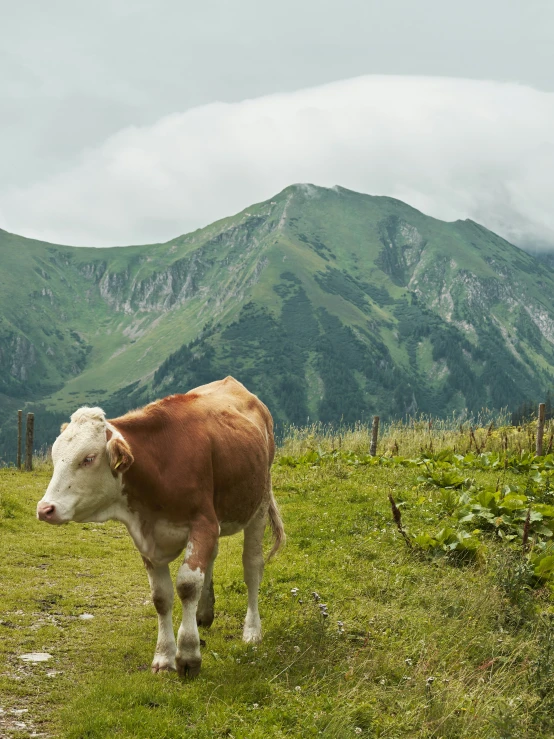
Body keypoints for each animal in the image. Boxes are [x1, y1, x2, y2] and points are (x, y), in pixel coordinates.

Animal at [37, 378, 284, 680]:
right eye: (54, 456)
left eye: (88, 458)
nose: (45, 509)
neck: (159, 465)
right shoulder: (148, 538)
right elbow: (161, 596)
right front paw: (164, 657)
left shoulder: (203, 522)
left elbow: (187, 584)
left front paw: (188, 656)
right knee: (211, 559)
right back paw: (203, 613)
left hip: (258, 503)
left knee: (252, 567)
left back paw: (252, 631)